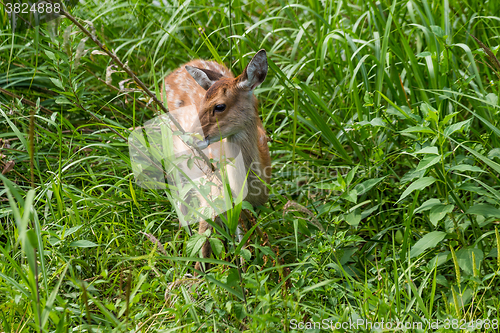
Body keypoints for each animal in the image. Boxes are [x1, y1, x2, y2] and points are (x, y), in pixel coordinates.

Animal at [162, 50, 272, 272]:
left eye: (220, 106)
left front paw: (245, 270)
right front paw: (197, 276)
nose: (189, 137)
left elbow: (243, 240)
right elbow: (204, 241)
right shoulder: (211, 195)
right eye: (201, 105)